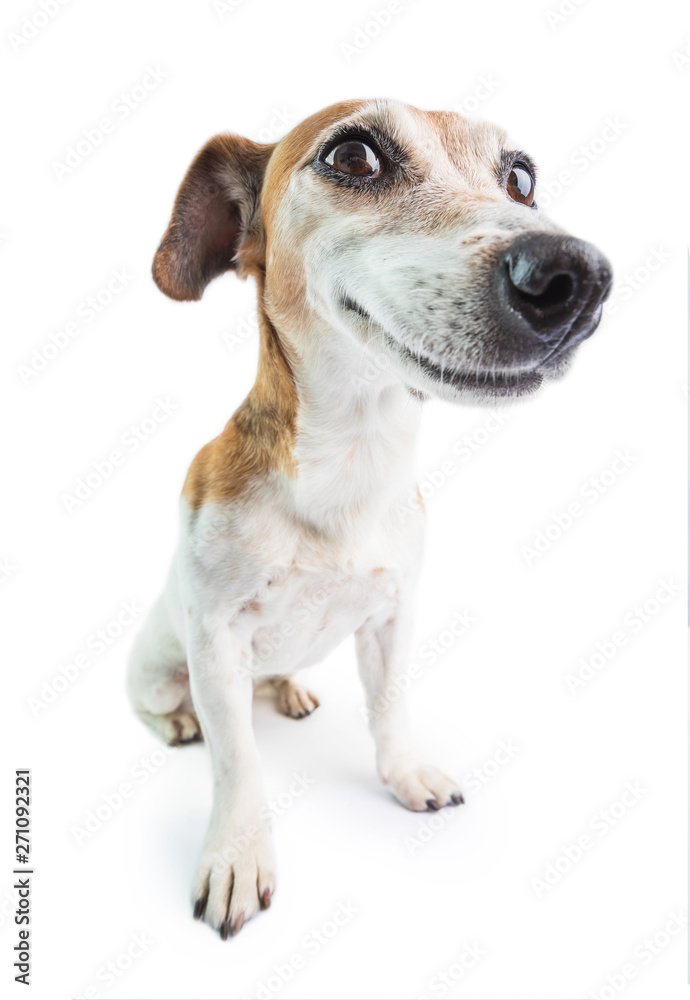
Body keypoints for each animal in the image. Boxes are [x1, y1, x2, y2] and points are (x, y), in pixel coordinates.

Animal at [126, 99, 612, 936]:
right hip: (158, 674)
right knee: (165, 712)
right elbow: (236, 761)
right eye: (353, 155)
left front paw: (407, 775)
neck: (352, 462)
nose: (575, 276)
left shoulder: (391, 616)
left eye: (522, 178)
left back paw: (288, 690)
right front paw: (236, 855)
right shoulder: (216, 643)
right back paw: (181, 724)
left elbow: (388, 708)